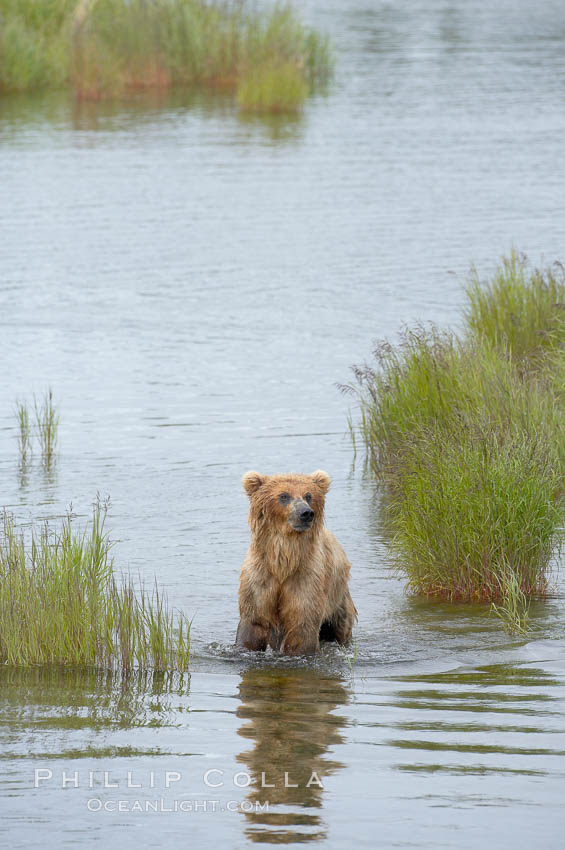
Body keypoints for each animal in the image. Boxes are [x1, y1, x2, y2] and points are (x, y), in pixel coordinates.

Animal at [236, 470, 354, 656]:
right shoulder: (260, 576)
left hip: (338, 597)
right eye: (284, 495)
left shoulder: (306, 578)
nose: (306, 513)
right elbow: (254, 621)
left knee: (341, 625)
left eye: (308, 495)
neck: (283, 562)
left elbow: (301, 624)